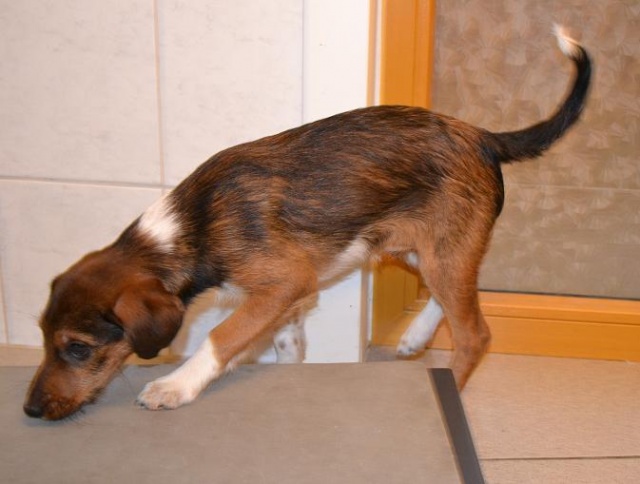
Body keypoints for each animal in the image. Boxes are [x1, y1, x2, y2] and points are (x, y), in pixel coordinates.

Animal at [24, 27, 591, 420]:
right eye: (43, 336)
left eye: (78, 348)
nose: (29, 410)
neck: (191, 227)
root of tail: (482, 136)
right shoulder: (289, 303)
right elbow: (279, 348)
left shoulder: (284, 284)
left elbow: (220, 336)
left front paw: (176, 385)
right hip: (420, 247)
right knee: (450, 297)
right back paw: (414, 337)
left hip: (443, 250)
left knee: (475, 333)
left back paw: (449, 385)